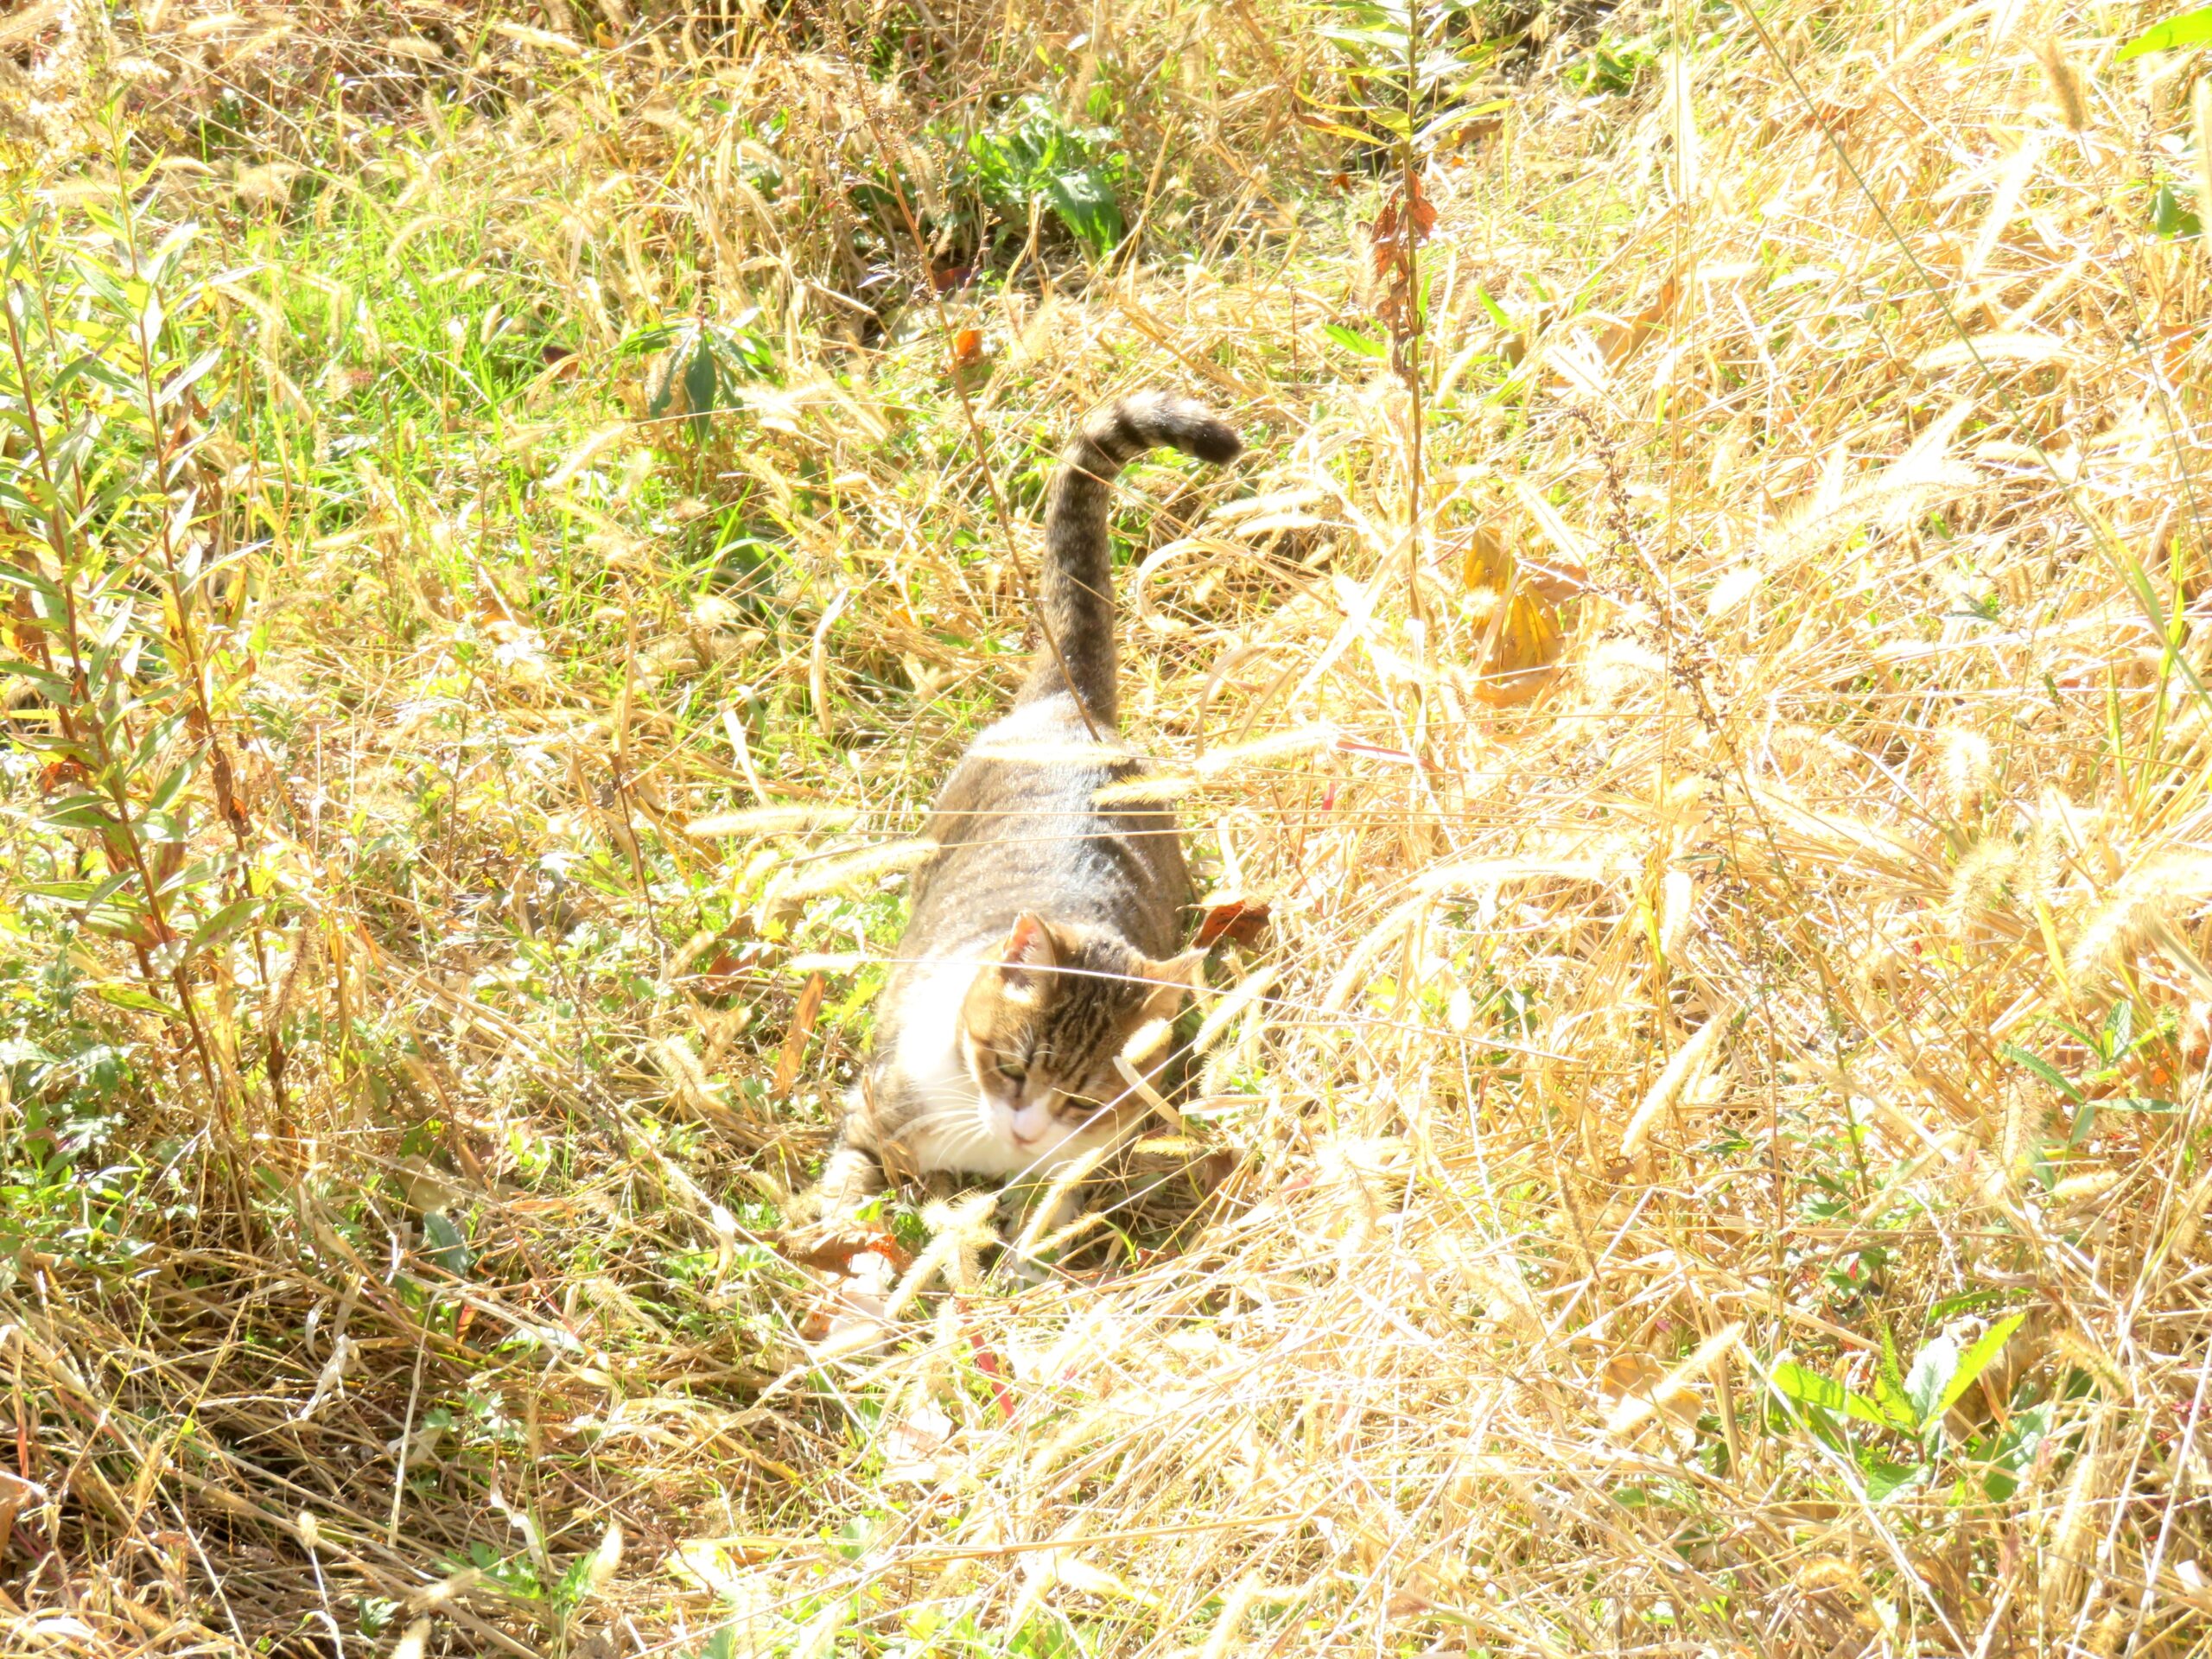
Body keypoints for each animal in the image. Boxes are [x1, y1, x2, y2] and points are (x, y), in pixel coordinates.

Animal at [818, 389, 1247, 1221]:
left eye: (1082, 1103)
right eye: (1012, 1068)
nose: (1024, 1131)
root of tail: (1073, 710)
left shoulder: (1069, 1173)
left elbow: (1041, 1221)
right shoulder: (877, 1107)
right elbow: (849, 1191)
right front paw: (840, 1239)